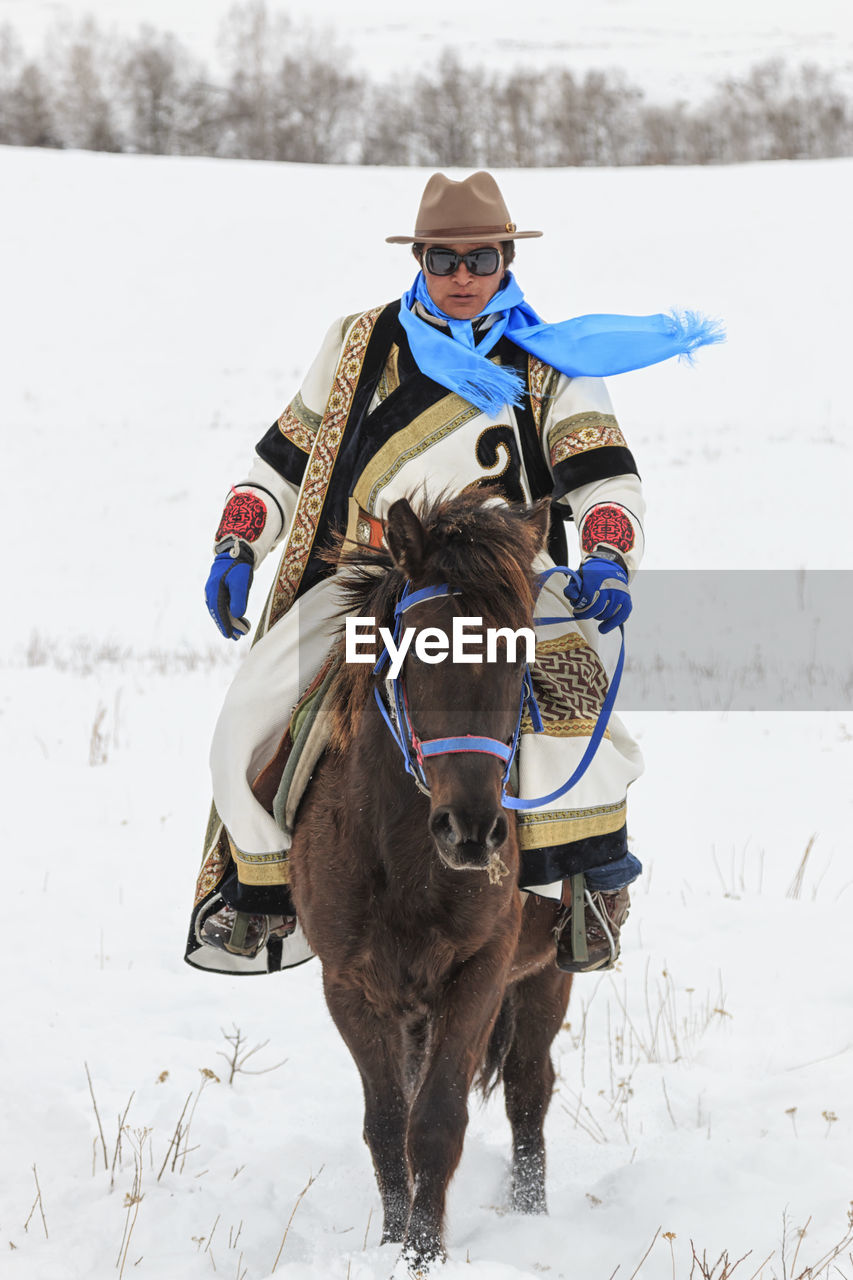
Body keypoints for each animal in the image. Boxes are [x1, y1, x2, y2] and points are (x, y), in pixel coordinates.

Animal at [289, 488, 573, 1269]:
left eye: (521, 652)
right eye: (420, 649)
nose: (472, 831)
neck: (404, 860)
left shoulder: (482, 970)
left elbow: (437, 1120)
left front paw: (423, 1253)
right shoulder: (350, 984)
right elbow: (389, 1124)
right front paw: (394, 1244)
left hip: (547, 972)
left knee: (529, 1088)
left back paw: (533, 1214)